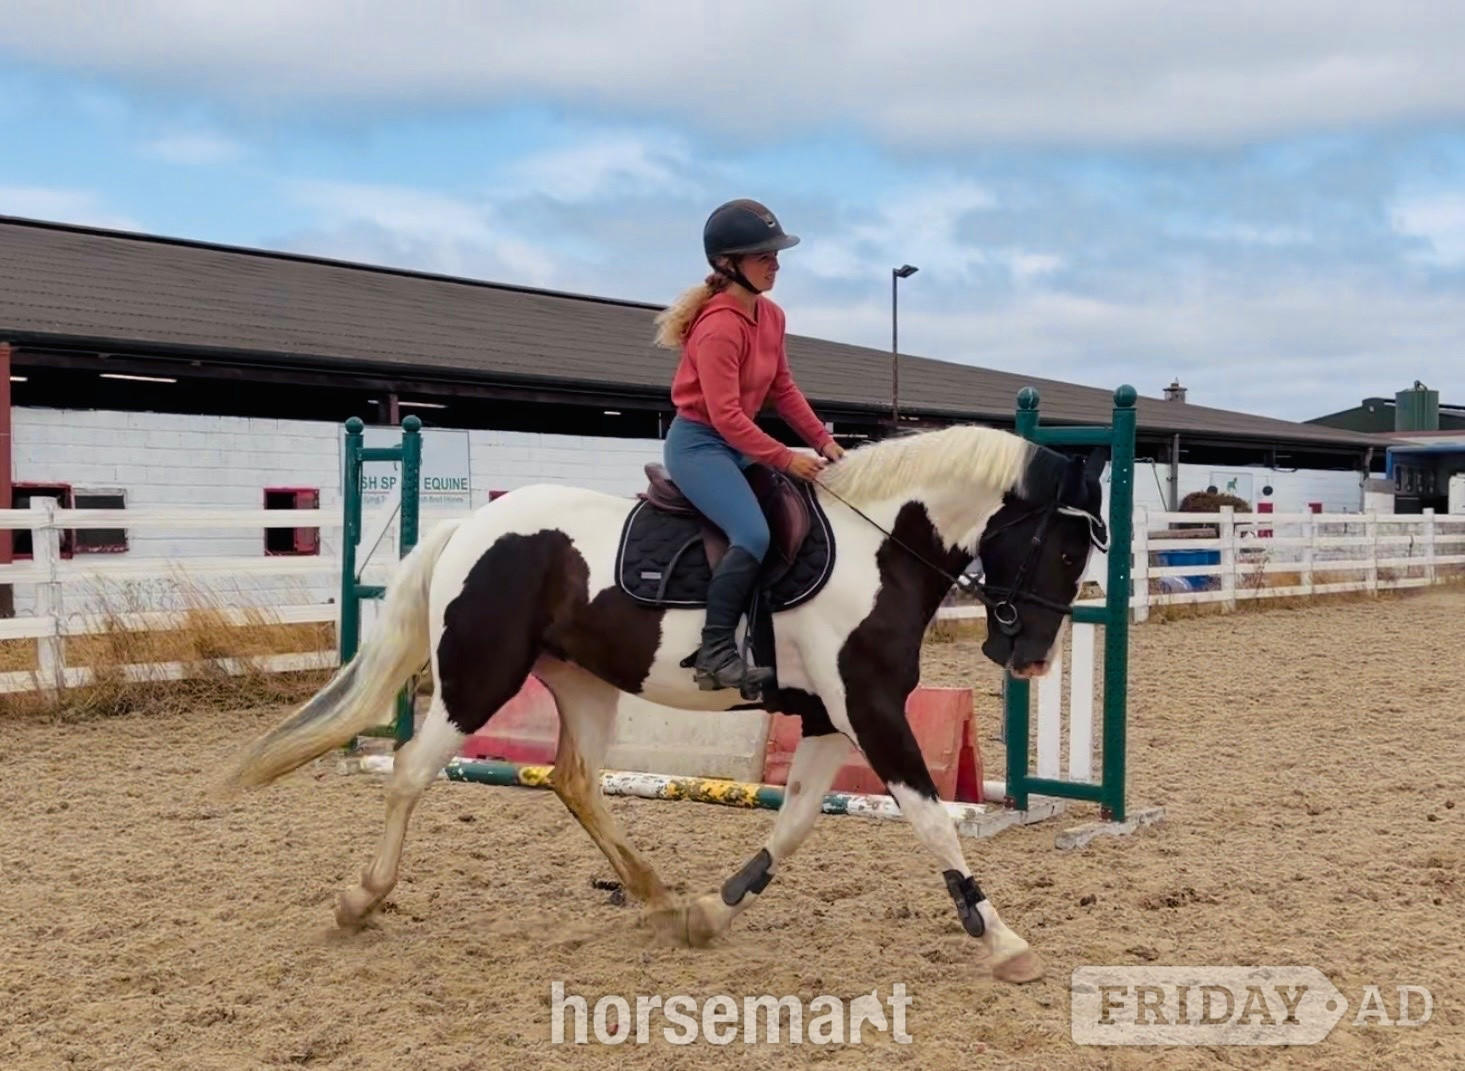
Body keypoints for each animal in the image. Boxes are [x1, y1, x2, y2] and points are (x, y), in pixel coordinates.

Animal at [220, 421, 1109, 985]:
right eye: (1066, 547)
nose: (1030, 658)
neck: (878, 546)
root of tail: (470, 525)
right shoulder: (869, 708)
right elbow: (929, 820)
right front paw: (1002, 940)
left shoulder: (831, 716)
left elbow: (794, 820)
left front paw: (710, 913)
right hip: (479, 682)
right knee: (410, 770)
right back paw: (360, 898)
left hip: (581, 683)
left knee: (575, 779)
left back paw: (652, 892)